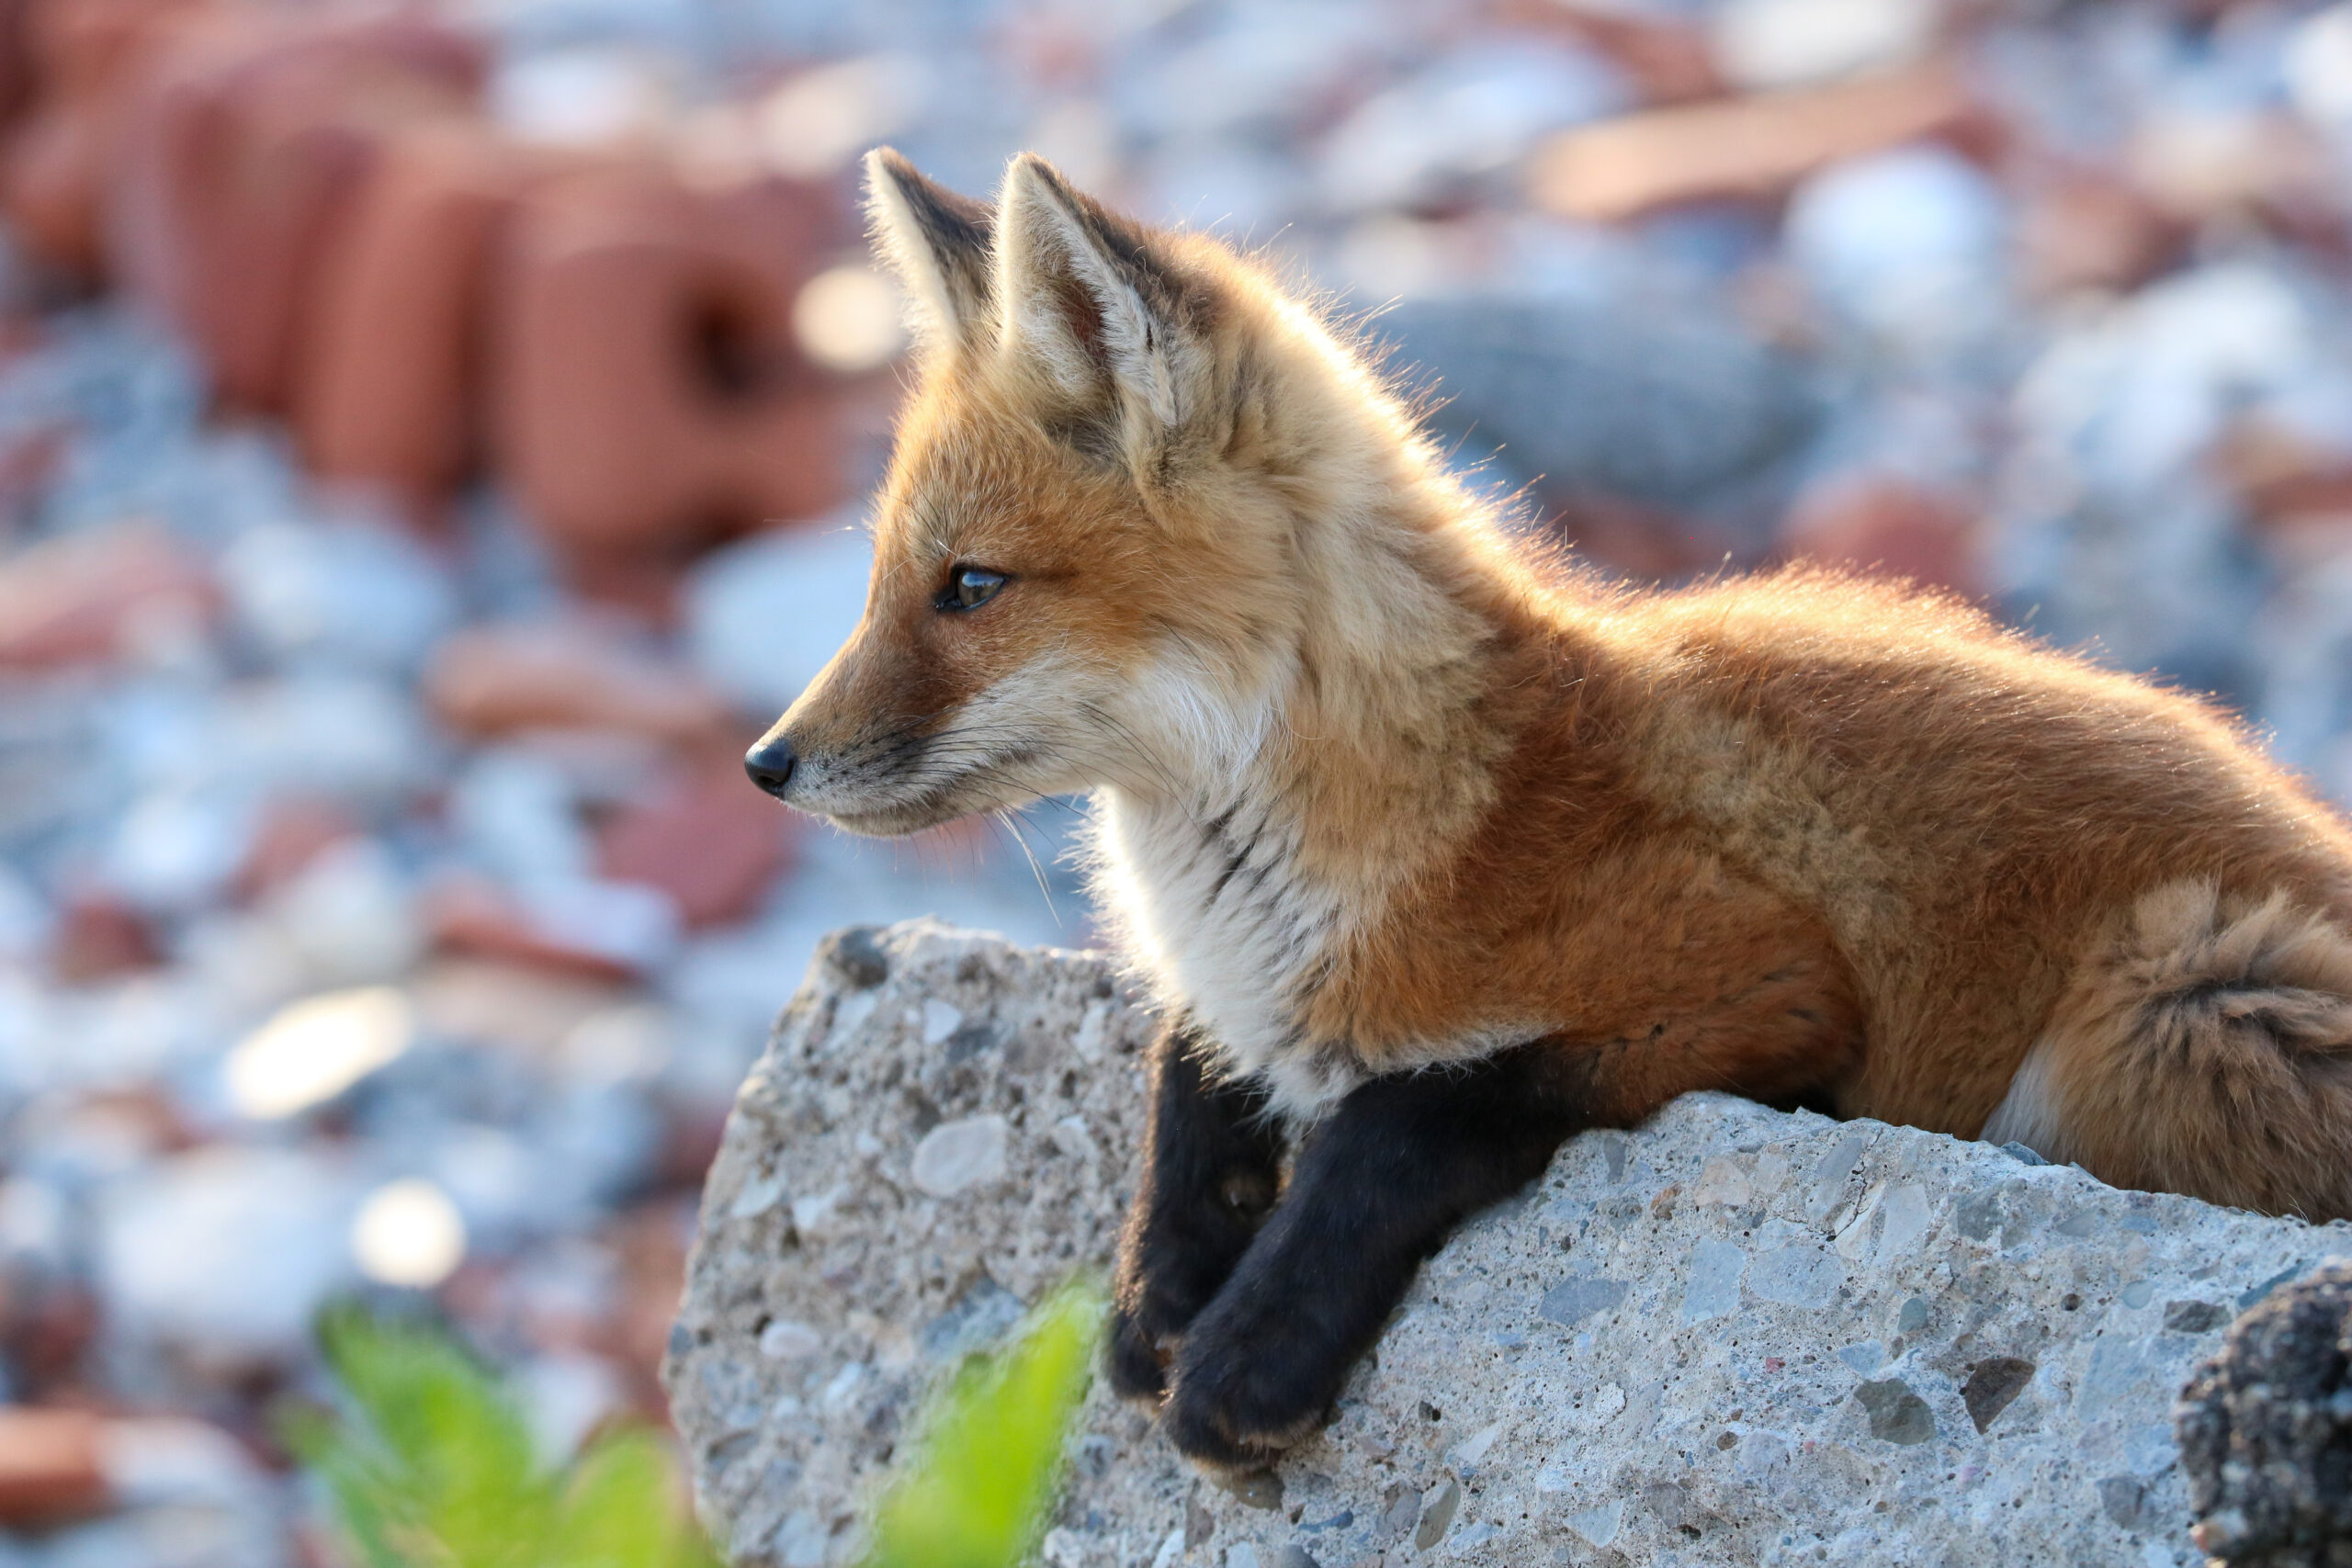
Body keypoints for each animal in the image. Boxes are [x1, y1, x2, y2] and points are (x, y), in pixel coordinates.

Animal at [742, 146, 2352, 1476]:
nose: (766, 762)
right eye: (888, 579)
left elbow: (1415, 1109)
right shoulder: (1237, 995)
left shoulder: (1763, 986)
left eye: (970, 586)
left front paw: (1251, 1347)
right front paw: (1163, 1276)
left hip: (2175, 1005)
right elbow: (1189, 1064)